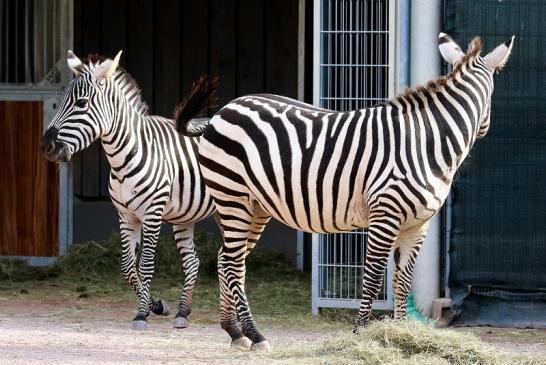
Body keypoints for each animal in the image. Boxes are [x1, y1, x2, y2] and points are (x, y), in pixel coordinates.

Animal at [41, 50, 218, 330]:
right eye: (61, 103)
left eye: (81, 103)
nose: (47, 146)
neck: (124, 157)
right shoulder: (126, 216)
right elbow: (127, 266)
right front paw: (156, 305)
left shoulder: (152, 213)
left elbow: (145, 265)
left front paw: (142, 314)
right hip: (185, 216)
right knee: (192, 261)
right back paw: (182, 312)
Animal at [176, 32, 512, 348]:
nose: (486, 127)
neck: (427, 142)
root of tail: (223, 111)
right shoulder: (385, 214)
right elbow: (374, 276)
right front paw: (360, 333)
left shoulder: (418, 225)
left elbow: (403, 280)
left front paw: (402, 333)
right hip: (232, 197)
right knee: (233, 264)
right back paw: (255, 335)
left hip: (254, 206)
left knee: (226, 260)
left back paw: (234, 331)